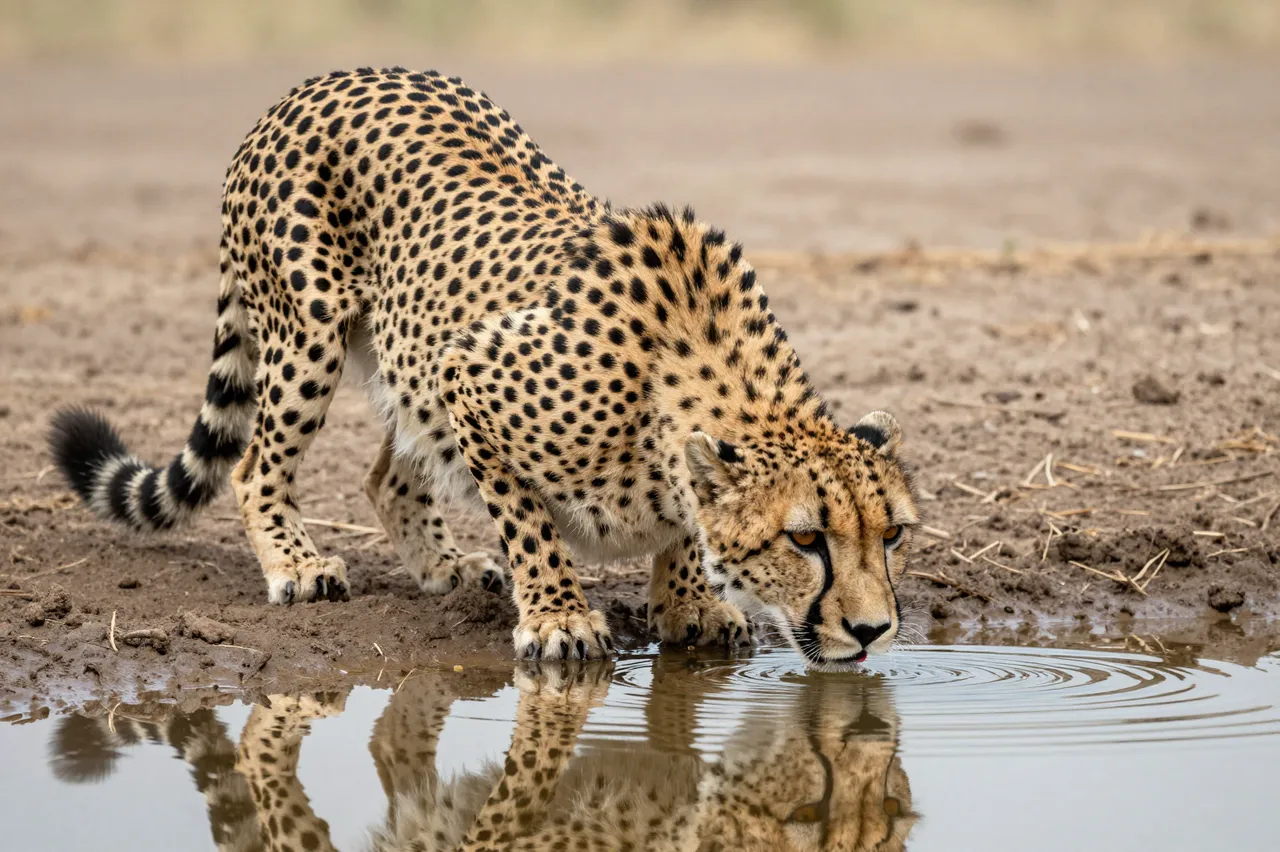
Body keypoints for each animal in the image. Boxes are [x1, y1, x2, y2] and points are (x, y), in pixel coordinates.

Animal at [49, 66, 919, 667]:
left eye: (895, 536)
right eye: (805, 540)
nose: (874, 629)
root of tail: (315, 82)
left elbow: (679, 529)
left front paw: (686, 605)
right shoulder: (469, 374)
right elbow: (530, 523)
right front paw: (560, 616)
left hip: (398, 352)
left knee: (387, 476)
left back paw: (445, 566)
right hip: (309, 336)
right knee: (255, 464)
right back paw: (298, 566)